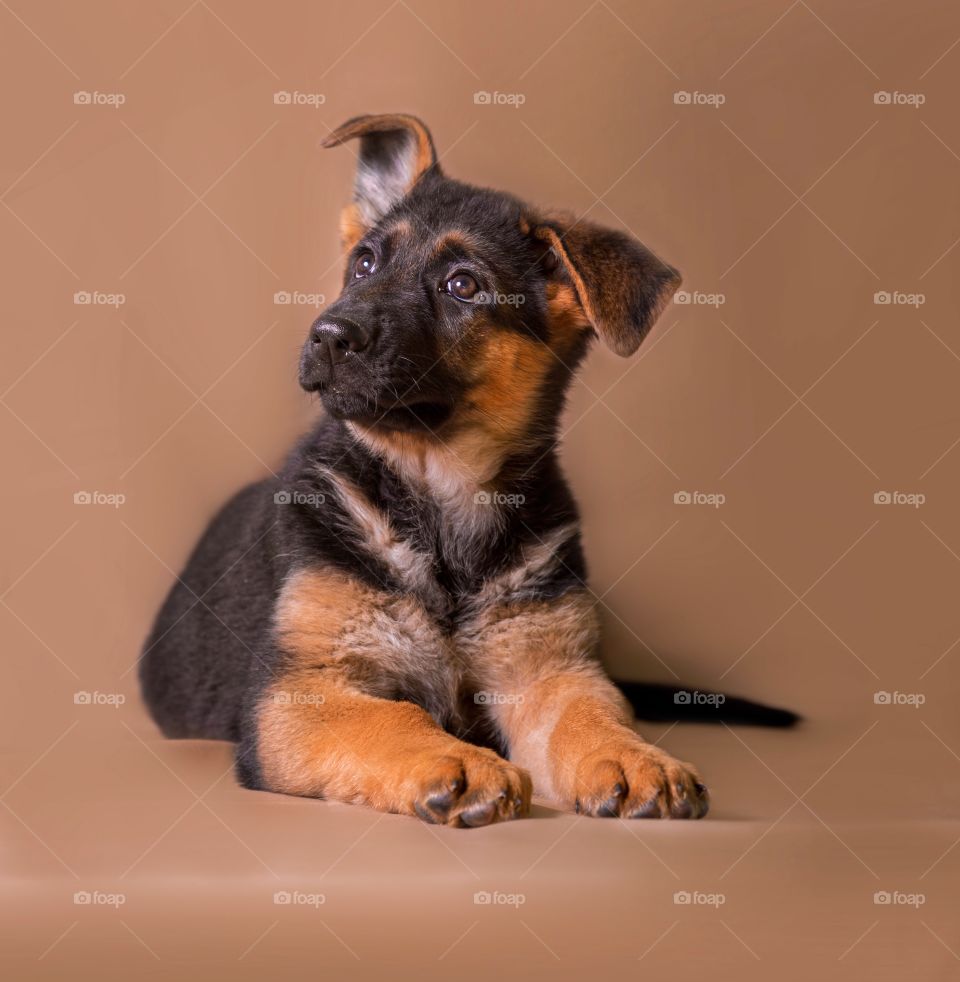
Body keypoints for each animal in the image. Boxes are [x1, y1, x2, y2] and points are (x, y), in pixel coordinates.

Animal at [137, 111, 796, 828]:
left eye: (463, 285)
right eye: (363, 262)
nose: (328, 335)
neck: (440, 492)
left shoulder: (549, 672)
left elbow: (591, 714)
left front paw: (633, 756)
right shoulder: (299, 694)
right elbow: (393, 716)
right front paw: (457, 760)